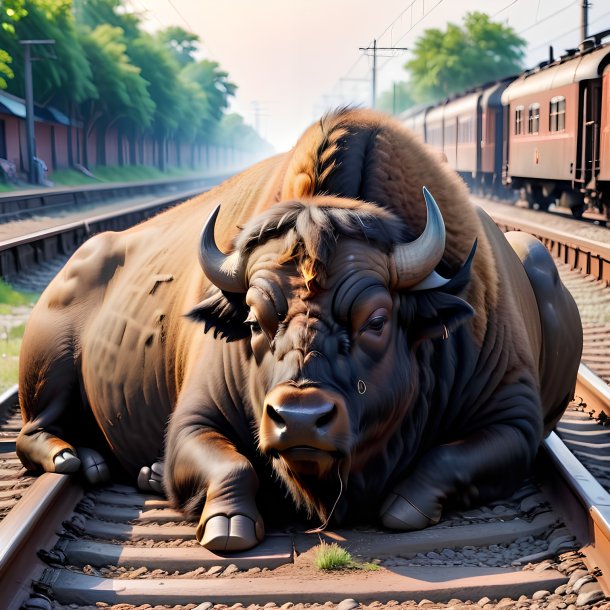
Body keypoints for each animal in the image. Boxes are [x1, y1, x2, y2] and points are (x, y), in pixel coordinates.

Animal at [17, 109, 580, 552]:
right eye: (253, 320)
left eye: (377, 320)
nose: (300, 419)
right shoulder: (192, 421)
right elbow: (230, 465)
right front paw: (226, 524)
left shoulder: (513, 421)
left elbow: (448, 459)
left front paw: (404, 506)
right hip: (51, 366)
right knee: (32, 431)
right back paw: (80, 460)